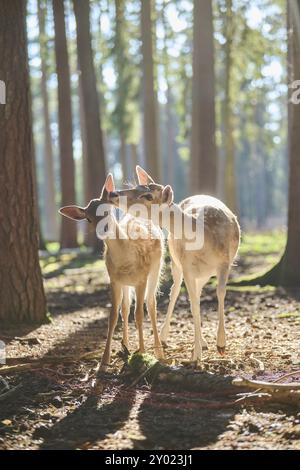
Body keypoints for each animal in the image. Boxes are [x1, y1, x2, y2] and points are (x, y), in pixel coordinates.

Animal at [58, 173, 164, 370]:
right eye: (88, 219)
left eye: (106, 211)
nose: (103, 230)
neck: (126, 260)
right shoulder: (113, 279)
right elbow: (113, 315)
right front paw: (104, 361)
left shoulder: (141, 278)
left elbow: (139, 314)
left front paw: (143, 352)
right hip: (125, 283)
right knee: (125, 308)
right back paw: (125, 346)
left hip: (156, 268)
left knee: (151, 304)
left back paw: (159, 352)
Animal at [110, 167, 241, 362]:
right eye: (136, 186)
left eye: (148, 195)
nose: (114, 193)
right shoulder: (186, 266)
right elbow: (193, 305)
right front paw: (196, 354)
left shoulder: (225, 263)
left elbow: (220, 294)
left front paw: (221, 344)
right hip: (176, 262)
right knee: (176, 291)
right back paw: (168, 337)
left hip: (203, 273)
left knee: (197, 293)